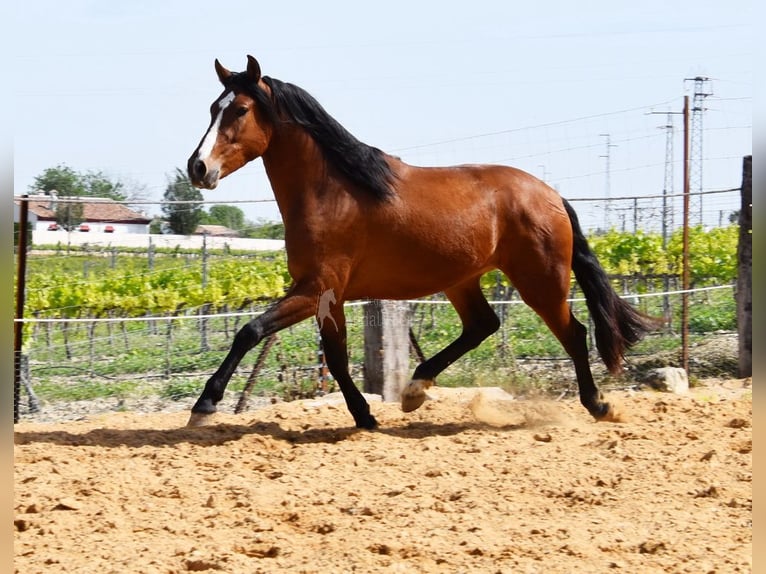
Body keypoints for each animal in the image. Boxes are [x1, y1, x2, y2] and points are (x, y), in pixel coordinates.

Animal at [184, 56, 660, 430]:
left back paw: (598, 405)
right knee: (483, 325)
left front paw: (204, 406)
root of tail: (551, 195)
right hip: (462, 280)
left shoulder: (315, 288)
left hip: (540, 282)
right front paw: (365, 417)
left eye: (240, 109)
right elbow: (335, 358)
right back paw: (415, 389)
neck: (333, 193)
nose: (197, 167)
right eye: (211, 108)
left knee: (573, 333)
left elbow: (249, 330)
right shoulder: (327, 296)